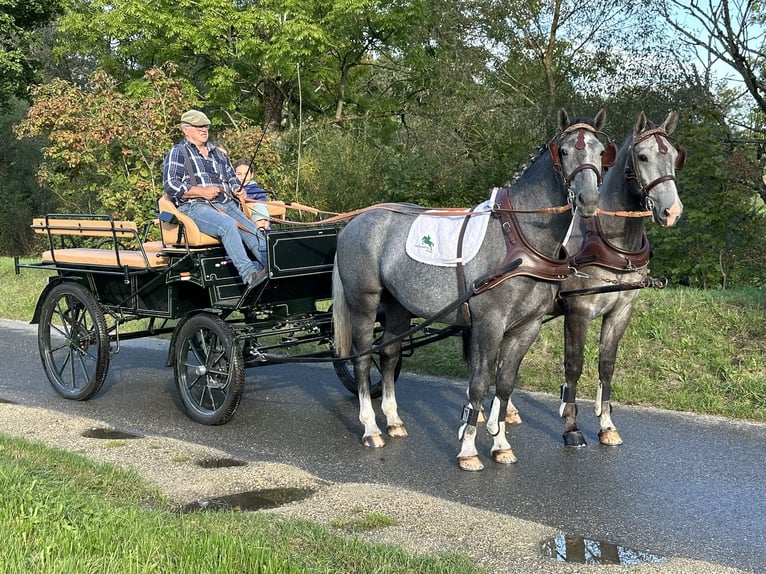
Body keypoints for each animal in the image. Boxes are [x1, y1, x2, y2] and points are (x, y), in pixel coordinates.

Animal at [334, 109, 616, 472]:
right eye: (564, 151)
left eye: (601, 151)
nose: (589, 200)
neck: (520, 239)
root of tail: (353, 223)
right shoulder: (489, 324)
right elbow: (479, 384)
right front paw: (468, 449)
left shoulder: (526, 328)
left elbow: (505, 385)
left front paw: (501, 445)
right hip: (364, 303)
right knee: (361, 358)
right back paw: (370, 428)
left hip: (397, 305)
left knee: (389, 352)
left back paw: (393, 421)